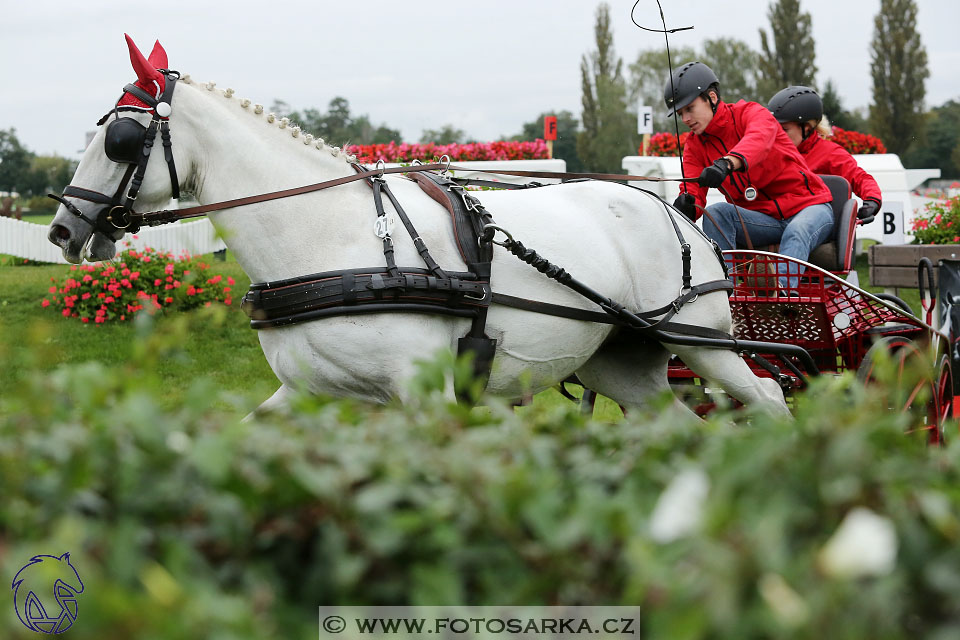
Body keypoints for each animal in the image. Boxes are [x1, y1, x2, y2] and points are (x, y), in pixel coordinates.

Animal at [47, 36, 788, 416]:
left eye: (118, 137)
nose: (61, 229)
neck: (330, 236)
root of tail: (676, 209)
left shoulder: (423, 394)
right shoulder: (308, 393)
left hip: (702, 342)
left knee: (771, 395)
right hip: (623, 363)